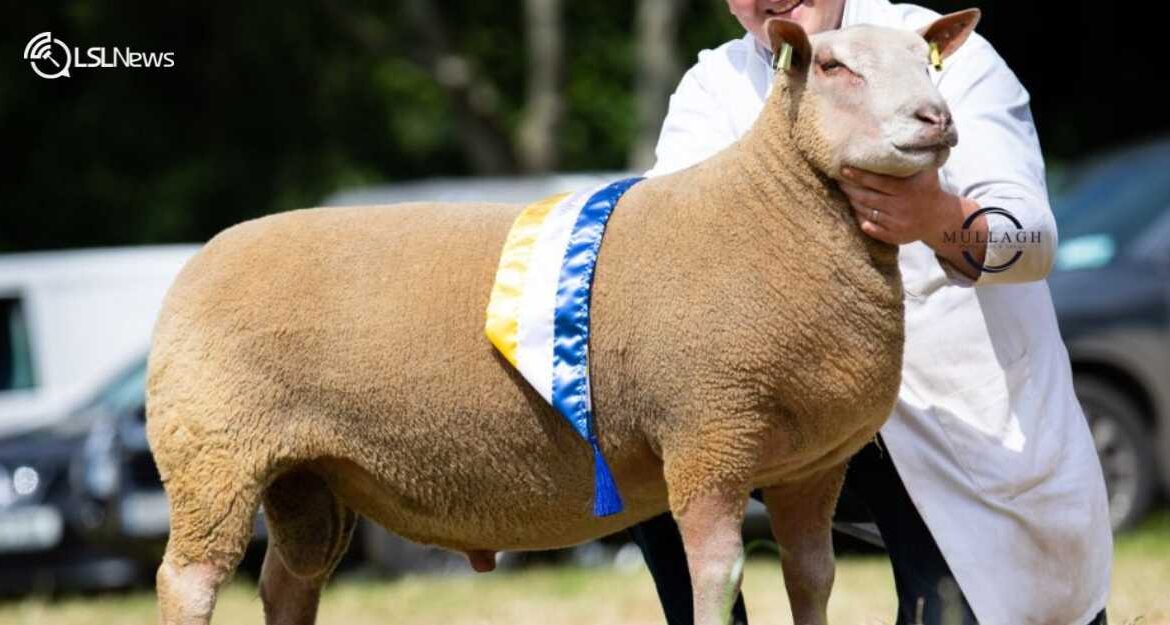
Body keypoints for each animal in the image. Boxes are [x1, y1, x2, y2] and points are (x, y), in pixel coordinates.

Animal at [148, 11, 978, 625]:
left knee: (289, 580)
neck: (769, 210)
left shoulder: (812, 463)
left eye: (929, 62)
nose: (935, 118)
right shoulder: (708, 435)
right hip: (212, 454)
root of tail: (202, 257)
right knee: (188, 579)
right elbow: (719, 576)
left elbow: (812, 577)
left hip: (306, 476)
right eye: (835, 69)